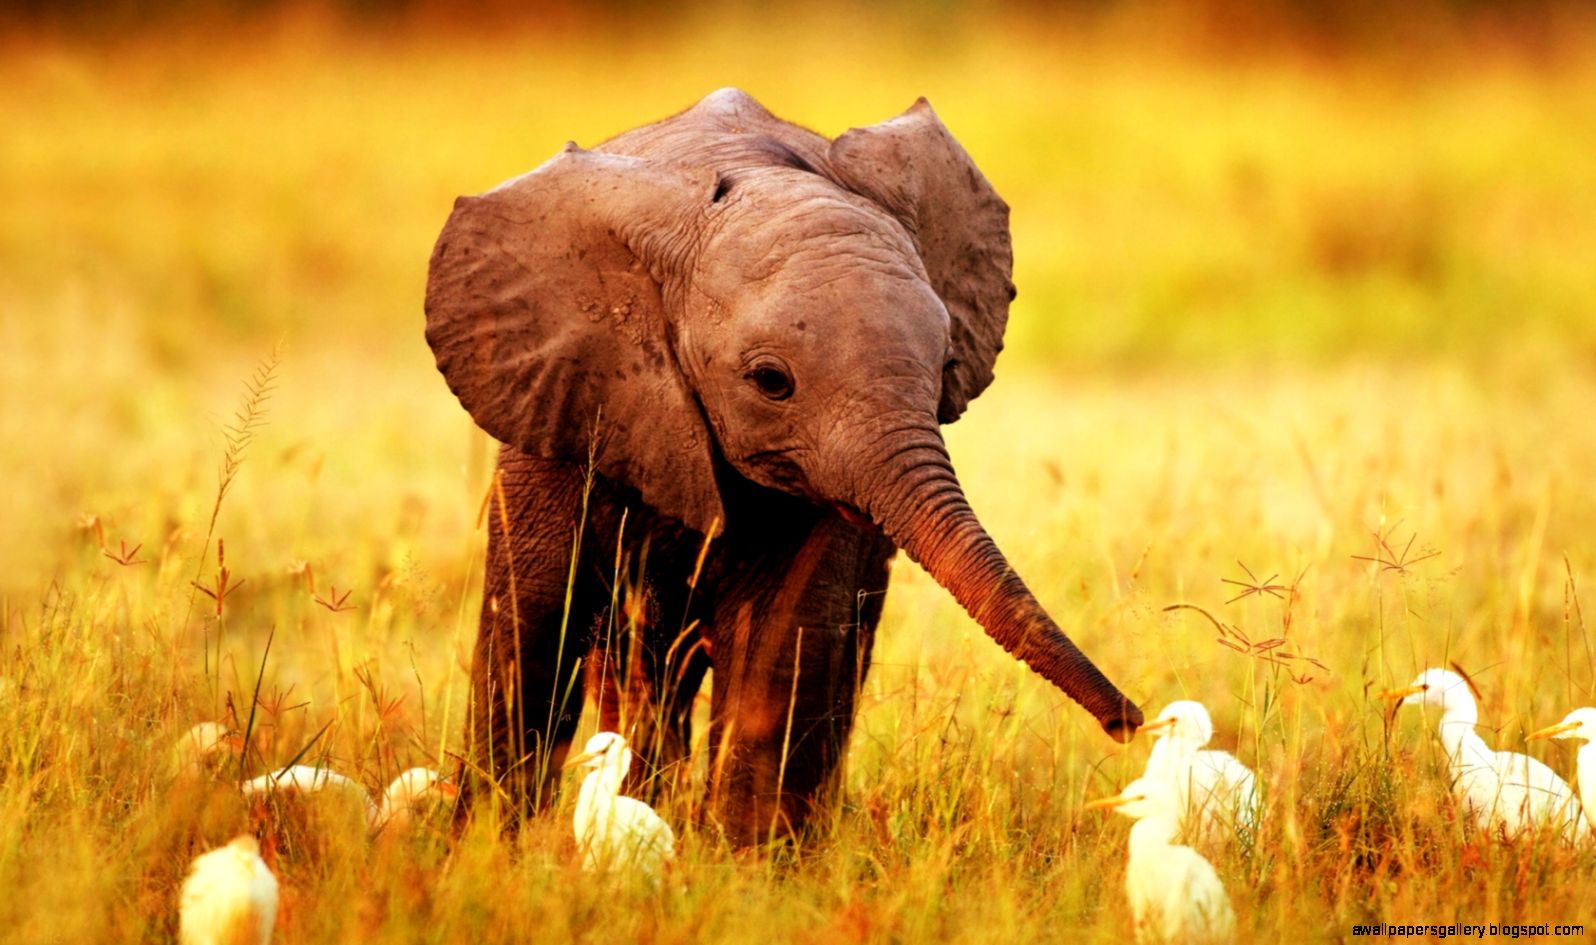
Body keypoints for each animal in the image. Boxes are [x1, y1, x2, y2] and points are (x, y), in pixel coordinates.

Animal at [424, 87, 1143, 846]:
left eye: (946, 364)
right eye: (772, 381)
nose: (1130, 723)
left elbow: (783, 643)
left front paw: (747, 863)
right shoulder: (560, 400)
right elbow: (533, 628)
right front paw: (483, 850)